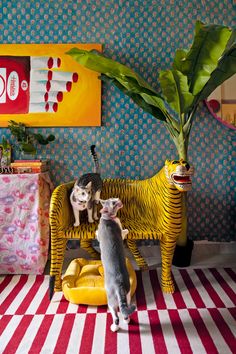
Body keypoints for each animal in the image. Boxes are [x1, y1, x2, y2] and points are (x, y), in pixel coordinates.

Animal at [96, 198, 136, 330]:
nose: (118, 199)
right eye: (113, 201)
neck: (108, 218)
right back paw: (127, 321)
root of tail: (119, 285)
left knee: (116, 315)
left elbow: (98, 233)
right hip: (127, 294)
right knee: (125, 311)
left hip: (110, 301)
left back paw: (114, 327)